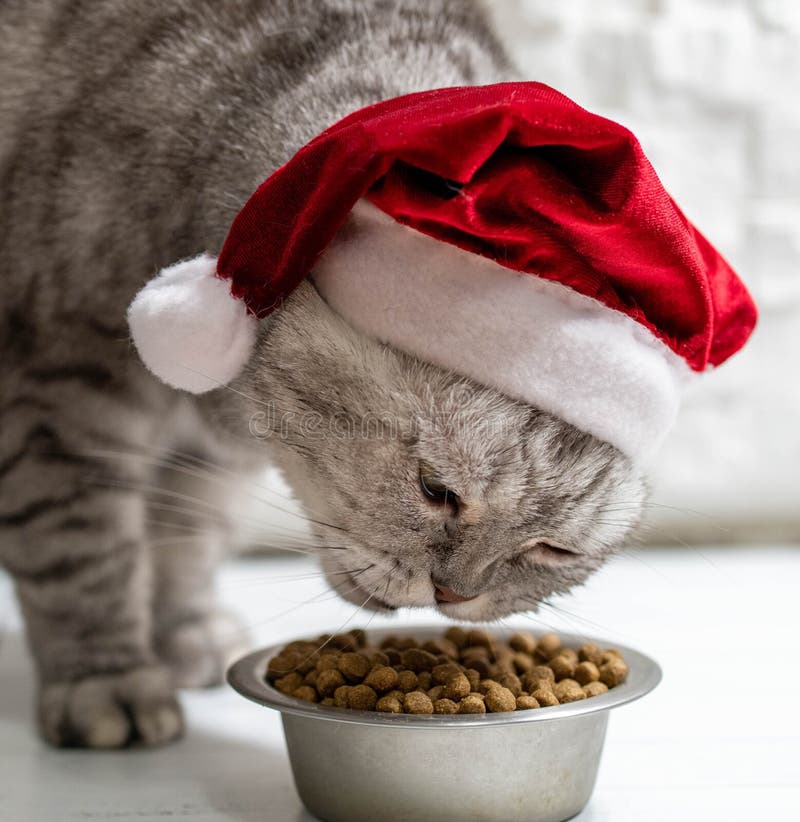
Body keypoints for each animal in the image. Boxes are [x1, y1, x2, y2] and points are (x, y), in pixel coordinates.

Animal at [0, 0, 648, 748]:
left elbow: (186, 536)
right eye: (435, 490)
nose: (453, 594)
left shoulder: (209, 459)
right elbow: (81, 545)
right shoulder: (61, 384)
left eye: (553, 551)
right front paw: (108, 677)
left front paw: (187, 629)